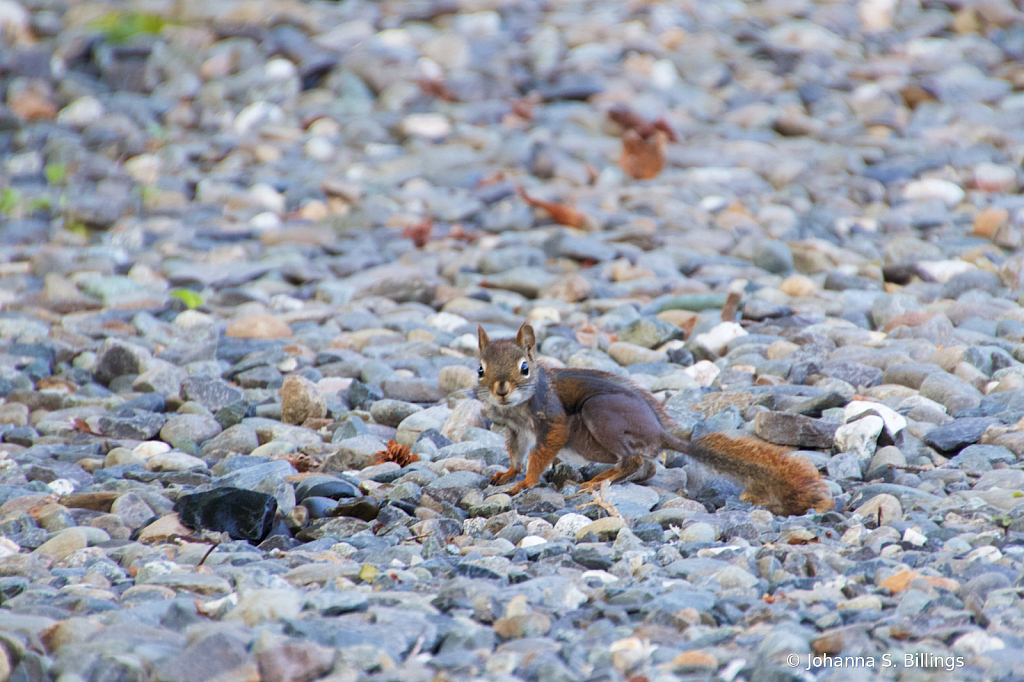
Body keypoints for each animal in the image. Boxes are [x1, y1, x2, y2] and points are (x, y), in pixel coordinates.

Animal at [475, 321, 835, 512]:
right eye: (480, 368)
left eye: (525, 368)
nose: (501, 389)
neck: (515, 408)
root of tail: (658, 432)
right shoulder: (516, 431)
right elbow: (517, 453)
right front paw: (509, 473)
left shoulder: (553, 421)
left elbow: (539, 455)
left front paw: (525, 482)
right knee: (643, 466)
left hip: (600, 414)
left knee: (633, 461)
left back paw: (599, 480)